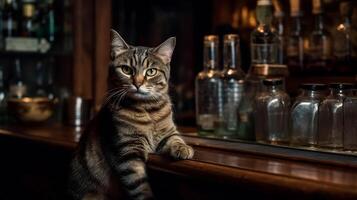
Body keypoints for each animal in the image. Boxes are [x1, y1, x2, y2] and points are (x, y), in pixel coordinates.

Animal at [68, 29, 193, 200]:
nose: (138, 83)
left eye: (151, 72)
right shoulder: (128, 151)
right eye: (126, 70)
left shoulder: (168, 132)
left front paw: (183, 148)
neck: (148, 110)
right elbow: (139, 185)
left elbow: (176, 139)